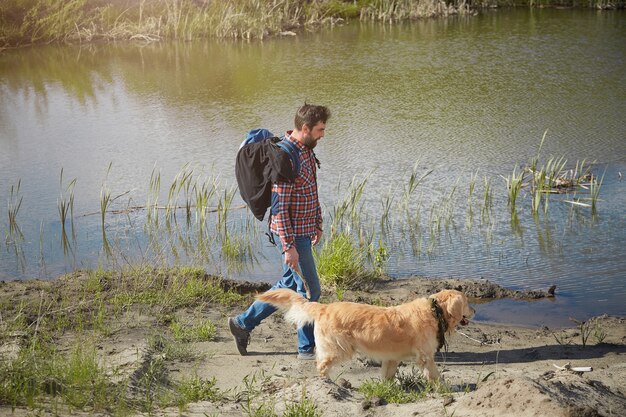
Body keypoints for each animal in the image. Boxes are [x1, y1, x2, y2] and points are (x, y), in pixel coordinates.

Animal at [256, 286, 470, 380]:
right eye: (468, 303)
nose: (474, 311)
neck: (435, 310)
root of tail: (324, 307)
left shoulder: (391, 358)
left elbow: (387, 376)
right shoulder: (425, 356)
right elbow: (435, 375)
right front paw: (443, 390)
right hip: (339, 349)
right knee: (322, 366)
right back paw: (329, 384)